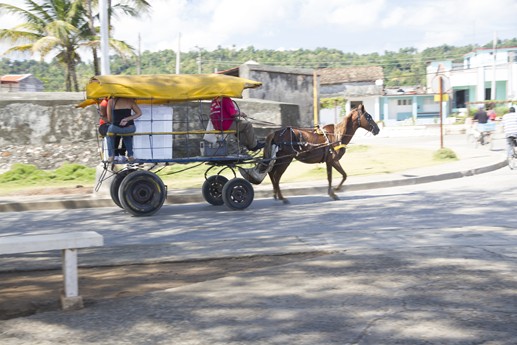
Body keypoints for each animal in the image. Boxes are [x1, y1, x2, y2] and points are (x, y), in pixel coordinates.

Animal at [238, 103, 378, 203]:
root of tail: (276, 133)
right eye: (368, 116)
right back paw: (282, 198)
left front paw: (333, 192)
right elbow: (341, 176)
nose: (377, 129)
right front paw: (335, 191)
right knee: (276, 176)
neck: (337, 135)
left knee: (272, 174)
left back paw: (275, 194)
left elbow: (334, 177)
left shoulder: (329, 161)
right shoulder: (333, 160)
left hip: (280, 159)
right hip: (285, 160)